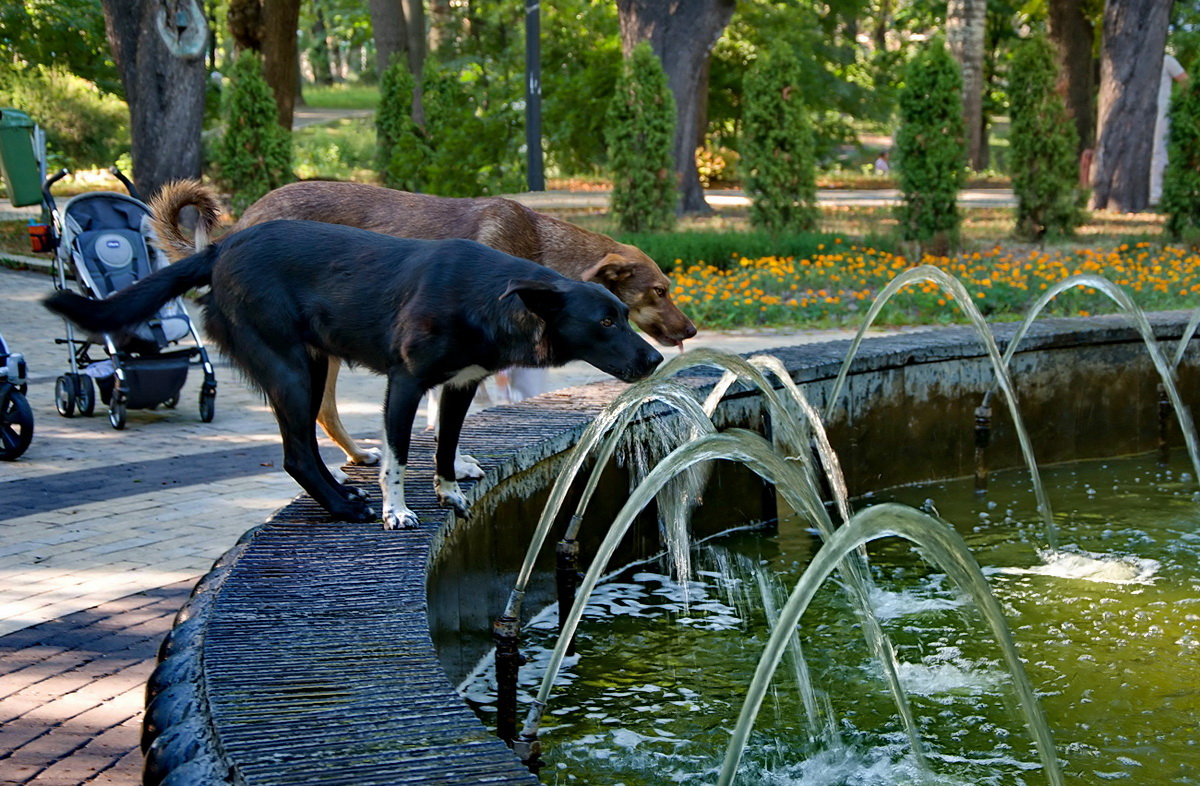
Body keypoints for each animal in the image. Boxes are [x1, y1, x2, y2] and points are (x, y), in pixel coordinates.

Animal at [44, 218, 667, 532]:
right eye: (605, 321)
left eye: (625, 312)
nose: (656, 361)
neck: (487, 296)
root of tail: (219, 248)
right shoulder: (405, 384)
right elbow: (398, 456)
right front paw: (397, 511)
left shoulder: (460, 384)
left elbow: (445, 447)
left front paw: (448, 494)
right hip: (290, 368)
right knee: (296, 453)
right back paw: (346, 507)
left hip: (312, 363)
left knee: (305, 443)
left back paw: (342, 493)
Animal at [152, 181, 696, 470]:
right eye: (659, 291)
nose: (691, 332)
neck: (540, 249)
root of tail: (233, 233)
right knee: (318, 413)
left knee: (322, 412)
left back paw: (358, 457)